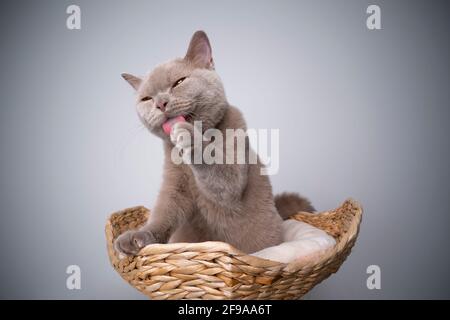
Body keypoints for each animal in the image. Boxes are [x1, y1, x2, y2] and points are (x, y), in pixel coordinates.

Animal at [116, 30, 312, 255]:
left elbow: (219, 172)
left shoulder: (234, 171)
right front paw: (136, 238)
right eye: (146, 99)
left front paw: (188, 135)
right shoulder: (174, 187)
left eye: (179, 82)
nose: (160, 103)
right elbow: (163, 214)